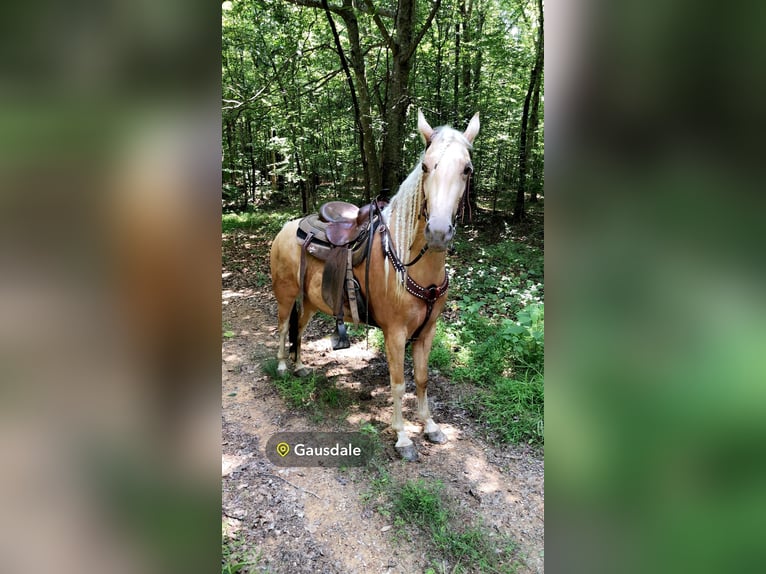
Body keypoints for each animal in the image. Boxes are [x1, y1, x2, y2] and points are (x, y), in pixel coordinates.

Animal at [270, 109, 480, 464]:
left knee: (299, 329)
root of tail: (287, 228)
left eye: (467, 169)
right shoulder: (394, 333)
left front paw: (430, 427)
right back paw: (284, 366)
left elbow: (421, 380)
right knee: (285, 327)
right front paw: (403, 439)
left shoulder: (427, 332)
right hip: (285, 295)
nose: (438, 232)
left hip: (310, 302)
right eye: (426, 166)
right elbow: (398, 384)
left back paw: (299, 368)